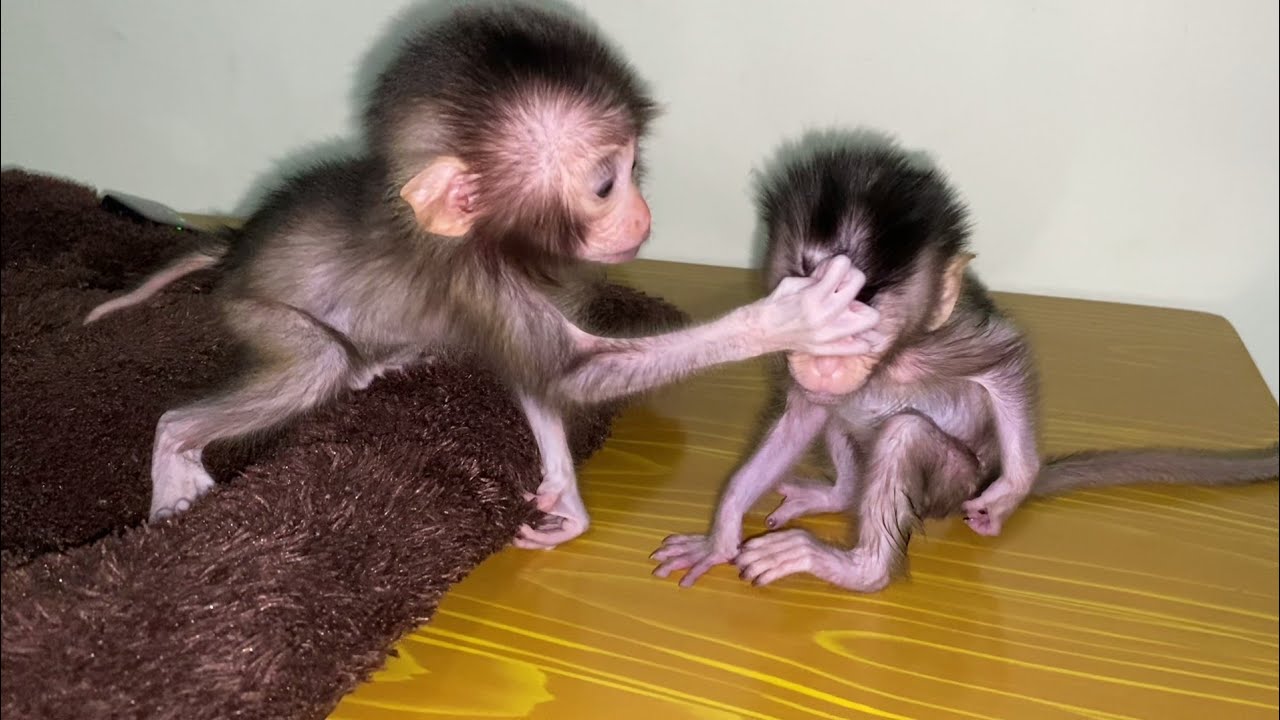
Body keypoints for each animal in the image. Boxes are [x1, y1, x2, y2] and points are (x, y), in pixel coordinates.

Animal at [83, 5, 882, 550]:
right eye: (605, 185)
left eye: (634, 167)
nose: (642, 212)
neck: (478, 238)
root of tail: (232, 253)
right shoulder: (476, 278)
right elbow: (572, 370)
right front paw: (789, 318)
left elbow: (535, 372)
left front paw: (565, 499)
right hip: (256, 313)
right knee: (309, 366)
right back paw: (177, 449)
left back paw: (377, 365)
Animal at [651, 134, 1279, 592]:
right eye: (809, 314)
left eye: (860, 323)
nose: (824, 366)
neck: (893, 364)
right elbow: (802, 415)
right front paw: (720, 535)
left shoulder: (949, 339)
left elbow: (1006, 363)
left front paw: (1012, 490)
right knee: (842, 418)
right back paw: (841, 495)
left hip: (952, 486)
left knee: (903, 434)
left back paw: (859, 568)